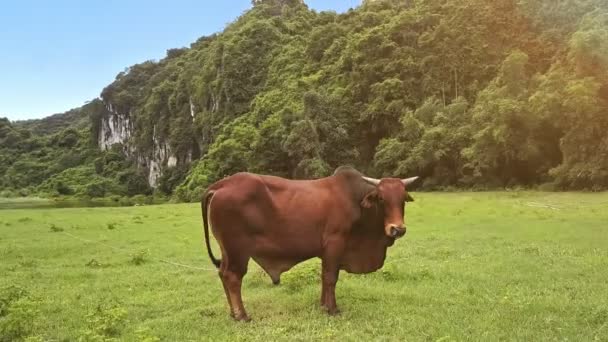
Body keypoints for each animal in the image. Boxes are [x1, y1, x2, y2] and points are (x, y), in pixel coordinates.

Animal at [200, 166, 418, 320]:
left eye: (403, 199)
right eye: (381, 198)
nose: (397, 229)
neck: (355, 200)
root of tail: (220, 185)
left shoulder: (326, 251)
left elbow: (324, 277)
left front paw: (323, 305)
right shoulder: (335, 243)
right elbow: (330, 278)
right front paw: (332, 309)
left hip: (227, 250)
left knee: (223, 273)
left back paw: (233, 313)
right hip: (237, 250)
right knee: (232, 277)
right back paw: (241, 315)